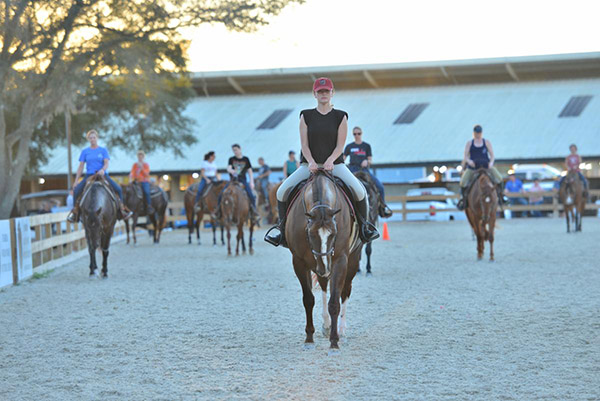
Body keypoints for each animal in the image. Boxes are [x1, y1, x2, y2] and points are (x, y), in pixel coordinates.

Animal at [286, 169, 360, 350]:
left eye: (333, 234)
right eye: (310, 234)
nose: (325, 267)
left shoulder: (340, 260)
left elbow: (334, 302)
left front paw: (334, 341)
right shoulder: (299, 261)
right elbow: (308, 299)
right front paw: (309, 338)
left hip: (352, 260)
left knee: (345, 291)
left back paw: (341, 329)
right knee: (324, 286)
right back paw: (326, 325)